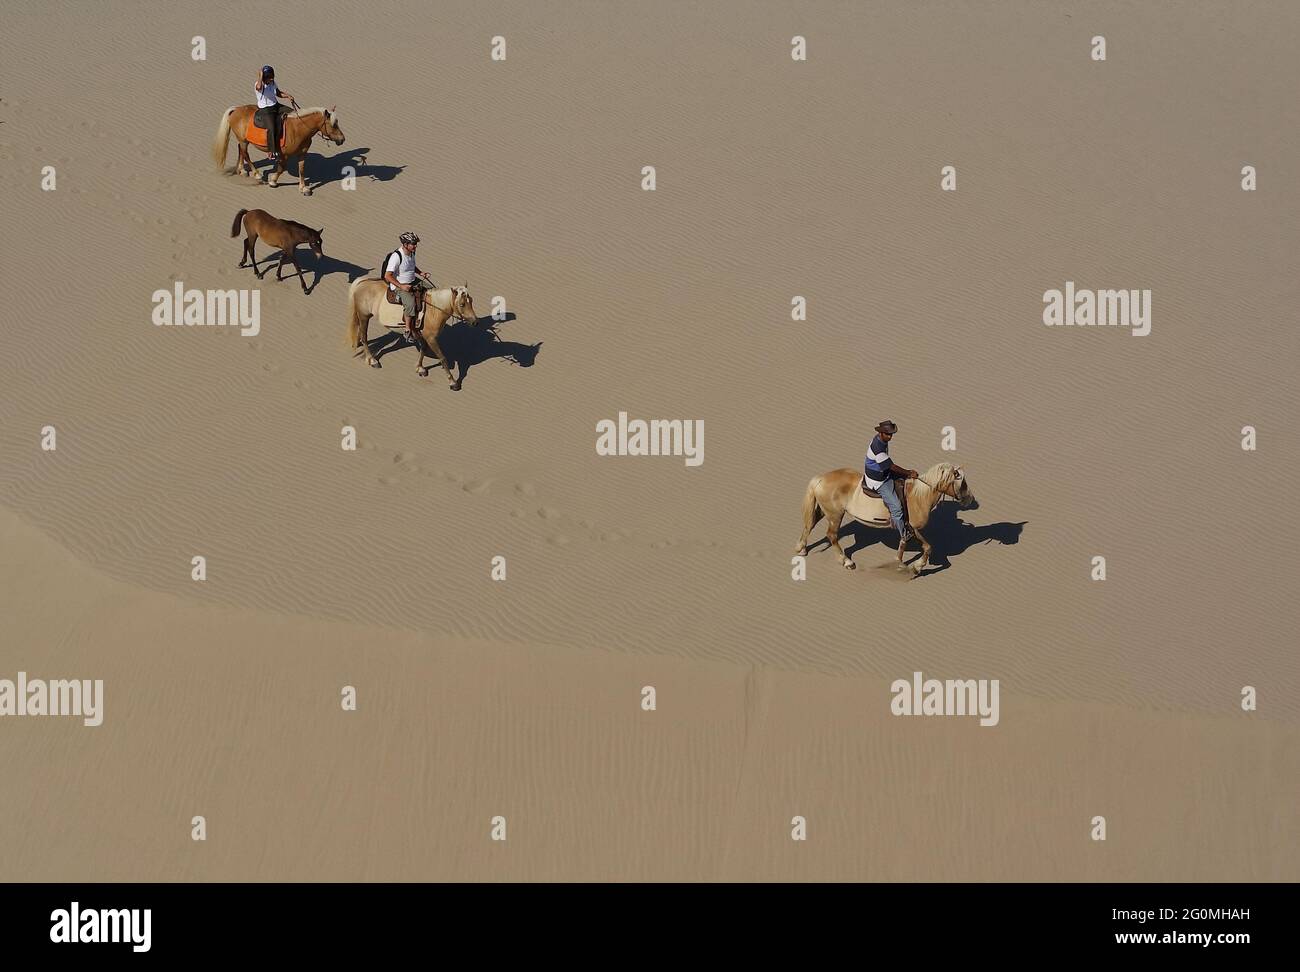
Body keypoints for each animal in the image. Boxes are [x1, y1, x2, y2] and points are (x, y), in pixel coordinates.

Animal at [213, 105, 345, 192]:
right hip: (243, 140)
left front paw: (303, 188)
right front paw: (273, 181)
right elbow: (281, 168)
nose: (342, 139)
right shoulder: (284, 155)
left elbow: (302, 169)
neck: (298, 129)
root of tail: (236, 109)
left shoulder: (302, 154)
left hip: (243, 140)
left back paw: (242, 170)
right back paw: (257, 174)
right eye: (334, 125)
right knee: (245, 153)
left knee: (241, 150)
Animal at [348, 276, 480, 389]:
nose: (475, 322)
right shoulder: (431, 338)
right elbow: (442, 358)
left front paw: (419, 368)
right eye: (462, 304)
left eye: (472, 301)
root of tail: (363, 281)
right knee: (364, 337)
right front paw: (452, 382)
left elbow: (423, 349)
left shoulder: (422, 335)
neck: (433, 310)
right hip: (364, 316)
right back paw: (372, 360)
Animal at [790, 462, 977, 576]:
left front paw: (905, 564)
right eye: (962, 482)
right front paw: (914, 567)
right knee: (832, 535)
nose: (970, 499)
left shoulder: (907, 528)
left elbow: (908, 545)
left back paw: (801, 548)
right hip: (835, 515)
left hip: (825, 511)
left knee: (809, 526)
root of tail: (821, 478)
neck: (918, 496)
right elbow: (928, 547)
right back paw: (846, 561)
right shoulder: (913, 527)